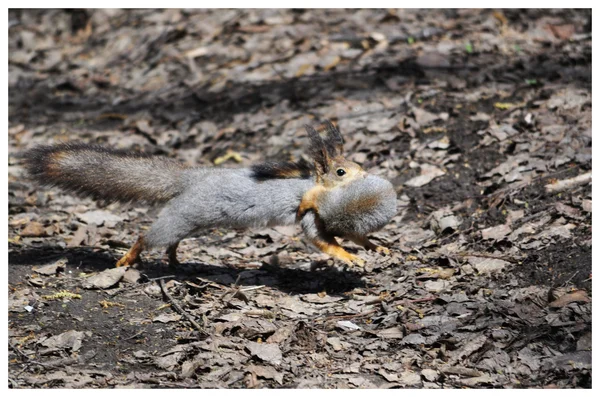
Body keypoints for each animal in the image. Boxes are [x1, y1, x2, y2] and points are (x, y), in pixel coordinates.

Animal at [24, 122, 398, 268]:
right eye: (341, 172)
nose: (366, 174)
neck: (313, 184)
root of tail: (192, 178)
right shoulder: (309, 209)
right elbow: (322, 240)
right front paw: (348, 256)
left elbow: (352, 235)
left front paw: (375, 246)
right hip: (182, 216)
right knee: (148, 236)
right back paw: (128, 258)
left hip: (191, 220)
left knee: (170, 240)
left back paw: (174, 260)